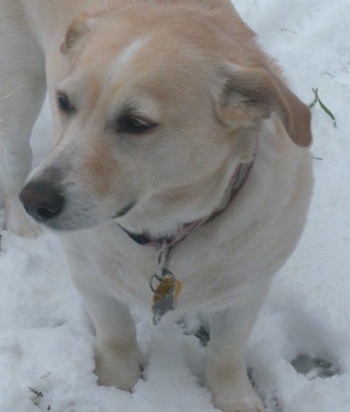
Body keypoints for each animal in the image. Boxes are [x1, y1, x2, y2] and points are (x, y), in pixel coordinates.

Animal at [0, 1, 312, 410]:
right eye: (64, 102)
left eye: (136, 123)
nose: (35, 201)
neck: (165, 231)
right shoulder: (88, 274)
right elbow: (116, 332)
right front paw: (116, 383)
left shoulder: (249, 288)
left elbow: (227, 352)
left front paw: (233, 398)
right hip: (19, 80)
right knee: (15, 157)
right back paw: (21, 223)